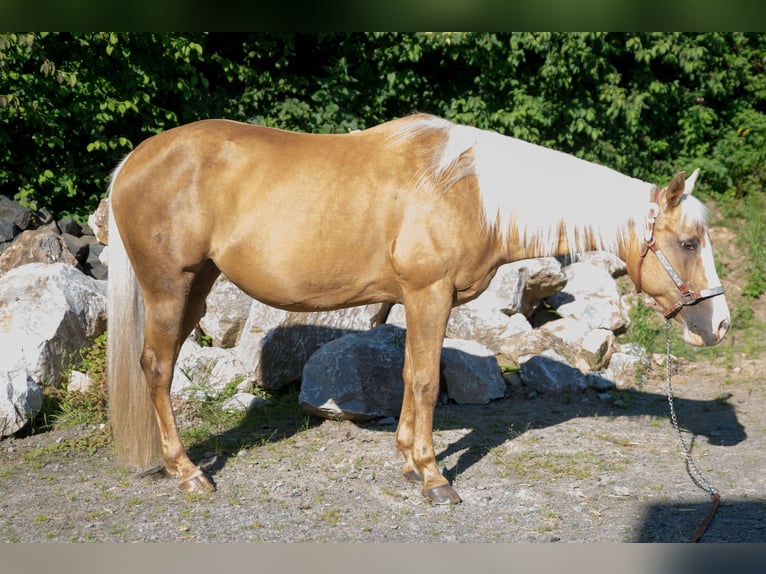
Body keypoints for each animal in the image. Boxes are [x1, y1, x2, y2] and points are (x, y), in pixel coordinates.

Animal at [108, 112, 732, 504]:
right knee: (157, 369)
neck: (469, 192)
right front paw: (435, 478)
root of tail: (133, 162)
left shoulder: (418, 299)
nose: (719, 324)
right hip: (169, 288)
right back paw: (187, 474)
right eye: (688, 243)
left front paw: (410, 462)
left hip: (196, 287)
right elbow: (429, 381)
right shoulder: (429, 294)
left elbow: (410, 375)